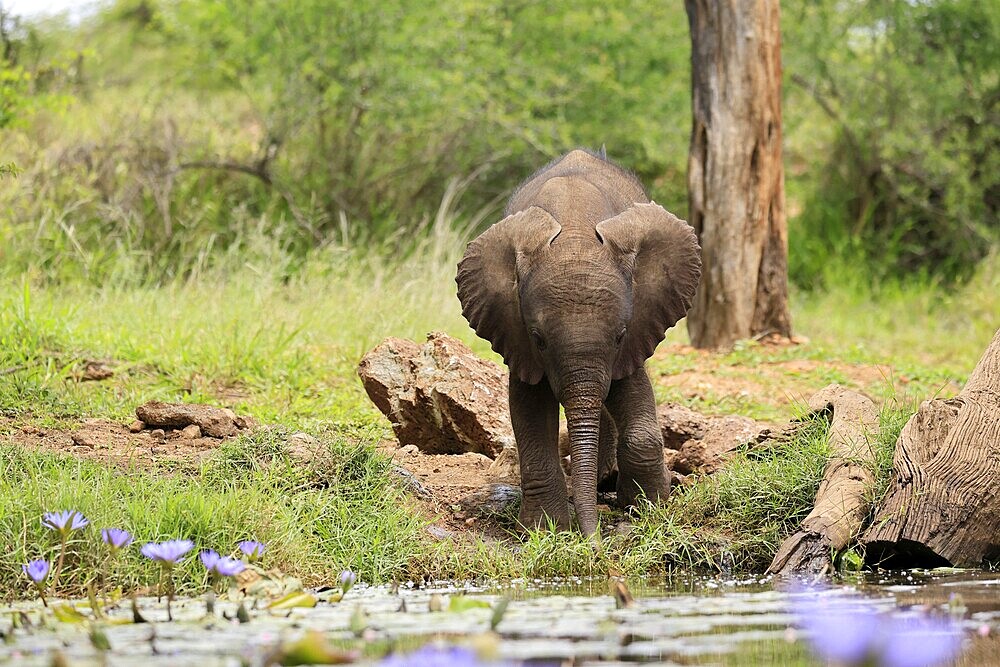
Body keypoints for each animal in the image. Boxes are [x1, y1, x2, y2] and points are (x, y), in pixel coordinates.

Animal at [458, 151, 700, 536]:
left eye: (620, 335)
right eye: (539, 340)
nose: (592, 541)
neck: (575, 229)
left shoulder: (636, 330)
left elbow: (631, 390)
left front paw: (650, 508)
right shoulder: (515, 334)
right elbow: (528, 409)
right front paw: (543, 529)